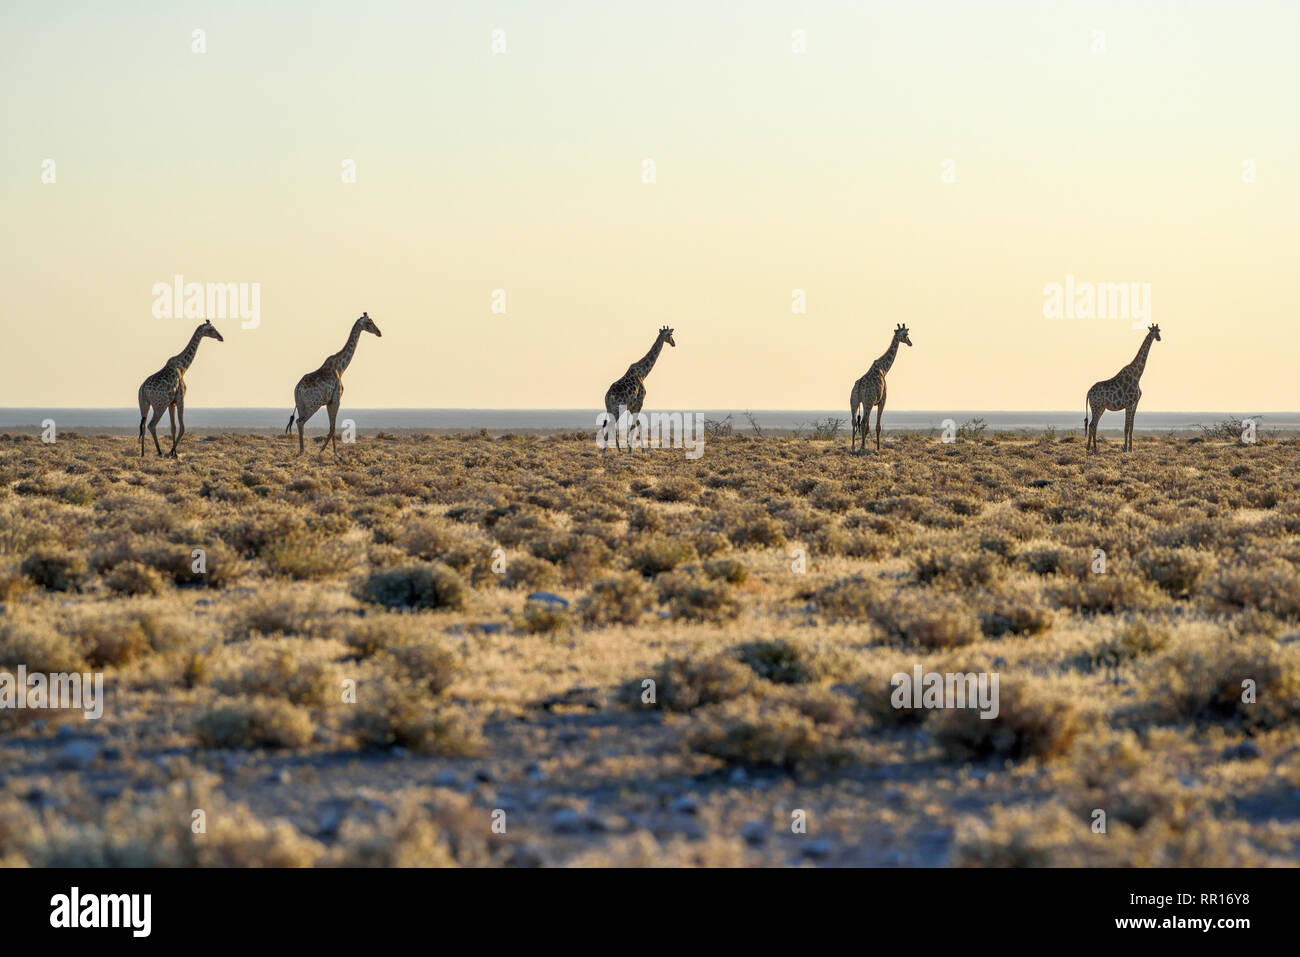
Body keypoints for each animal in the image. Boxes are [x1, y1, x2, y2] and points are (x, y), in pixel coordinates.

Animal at [137, 319, 223, 457]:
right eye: (211, 329)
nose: (221, 337)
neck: (183, 368)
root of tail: (144, 389)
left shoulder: (171, 403)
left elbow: (173, 427)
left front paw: (175, 453)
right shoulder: (180, 398)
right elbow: (182, 428)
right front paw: (172, 452)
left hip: (144, 404)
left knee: (143, 425)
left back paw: (143, 453)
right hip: (160, 405)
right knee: (151, 425)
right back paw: (159, 452)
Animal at [284, 308, 379, 455]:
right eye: (369, 322)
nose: (379, 332)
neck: (341, 367)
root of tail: (298, 388)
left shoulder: (329, 401)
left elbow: (332, 428)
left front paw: (332, 453)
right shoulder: (336, 398)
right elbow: (333, 428)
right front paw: (330, 453)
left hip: (300, 405)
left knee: (300, 422)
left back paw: (300, 451)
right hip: (314, 404)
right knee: (300, 422)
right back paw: (302, 451)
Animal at [1081, 323, 1164, 455]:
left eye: (1159, 330)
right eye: (1153, 331)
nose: (1159, 338)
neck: (1137, 375)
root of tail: (1088, 392)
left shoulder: (1135, 403)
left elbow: (1131, 427)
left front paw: (1131, 449)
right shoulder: (1129, 403)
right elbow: (1126, 428)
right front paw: (1125, 449)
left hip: (1101, 407)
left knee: (1092, 425)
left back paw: (1092, 448)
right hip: (1096, 406)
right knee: (1092, 425)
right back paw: (1092, 448)